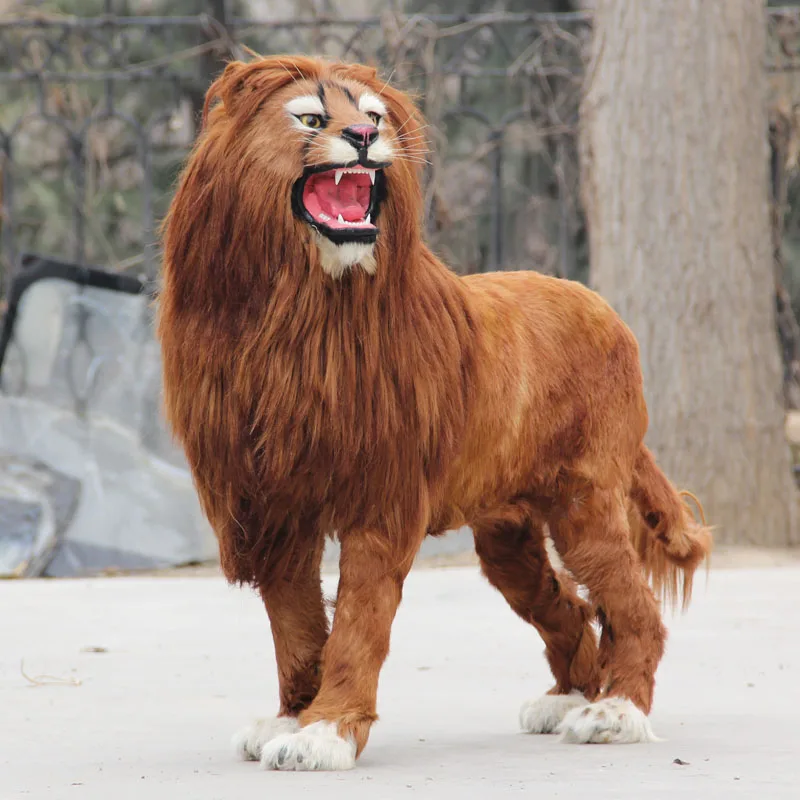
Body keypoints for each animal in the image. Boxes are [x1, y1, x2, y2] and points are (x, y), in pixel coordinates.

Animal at [157, 55, 712, 771]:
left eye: (373, 114)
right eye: (310, 117)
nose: (365, 137)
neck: (295, 312)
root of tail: (605, 309)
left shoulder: (380, 502)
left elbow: (356, 627)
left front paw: (326, 732)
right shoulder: (273, 508)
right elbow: (296, 629)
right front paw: (288, 718)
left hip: (586, 503)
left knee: (633, 607)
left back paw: (616, 712)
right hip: (507, 536)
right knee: (566, 607)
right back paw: (568, 698)